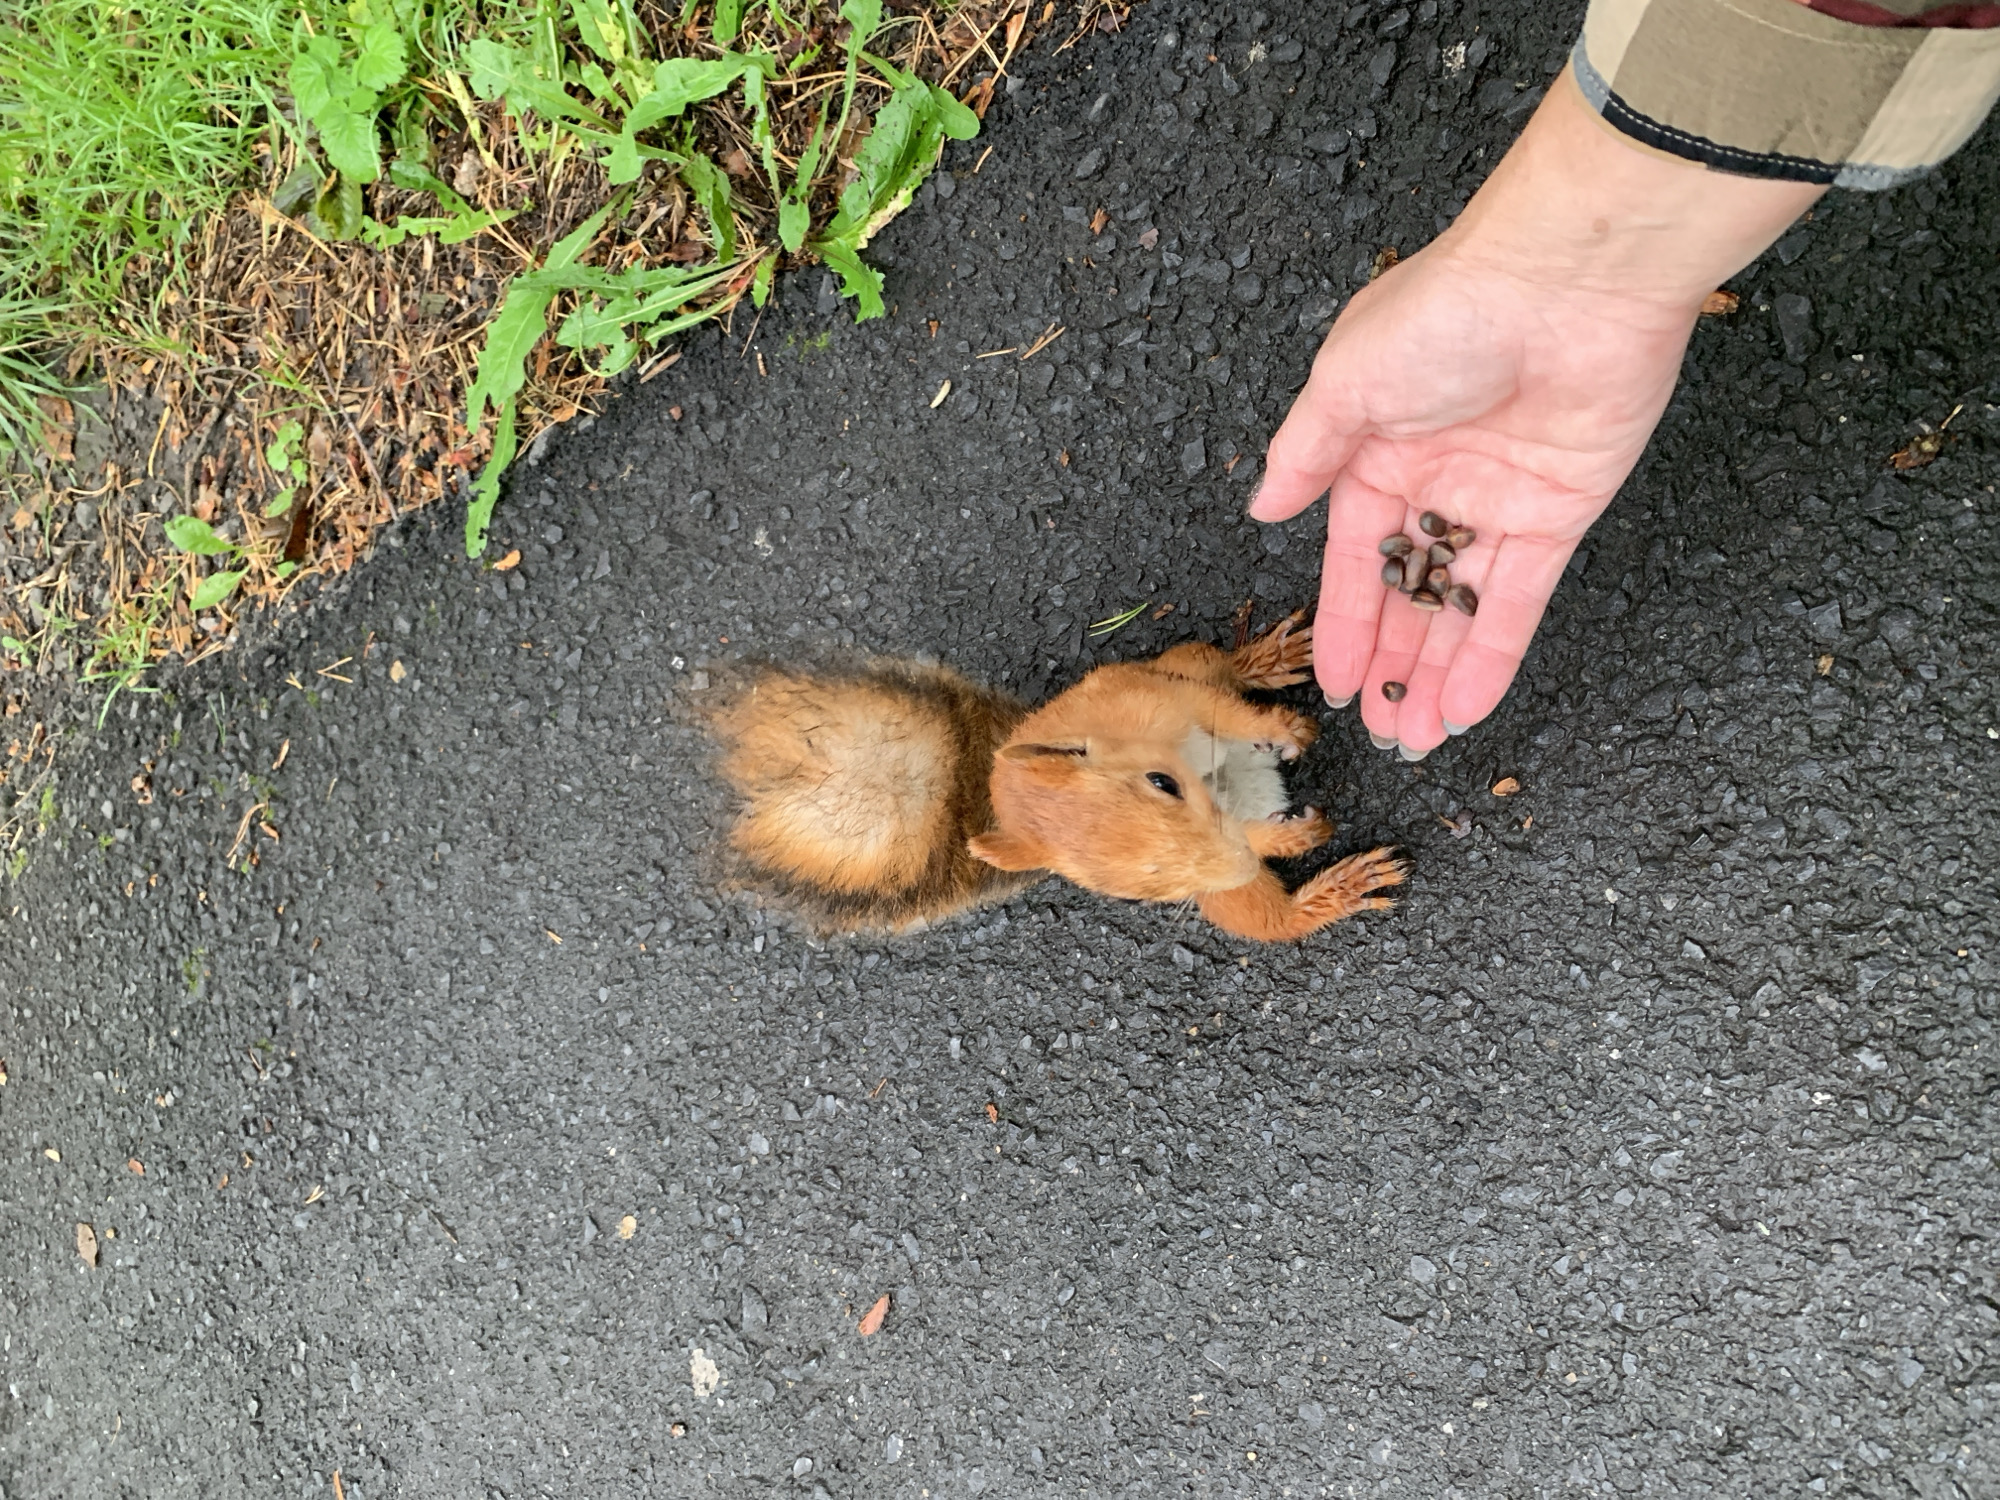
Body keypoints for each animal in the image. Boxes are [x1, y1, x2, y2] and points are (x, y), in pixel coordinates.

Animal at [708, 608, 1407, 941]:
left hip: (1170, 667)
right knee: (1269, 921)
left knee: (1219, 669)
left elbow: (1227, 709)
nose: (1232, 862)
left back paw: (1268, 661)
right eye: (1141, 891)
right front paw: (1292, 837)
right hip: (1230, 896)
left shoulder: (1162, 701)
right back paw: (1335, 881)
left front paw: (1286, 732)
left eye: (1161, 783)